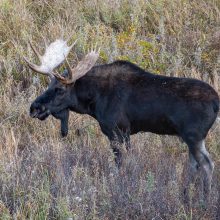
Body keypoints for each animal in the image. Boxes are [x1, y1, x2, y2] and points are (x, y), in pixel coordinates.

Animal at [24, 37, 220, 199]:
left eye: (60, 89)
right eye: (49, 85)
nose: (34, 108)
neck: (94, 100)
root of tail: (216, 102)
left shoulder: (117, 130)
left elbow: (121, 164)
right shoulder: (125, 133)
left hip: (193, 135)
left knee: (207, 164)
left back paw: (204, 199)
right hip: (191, 138)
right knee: (195, 165)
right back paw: (186, 195)